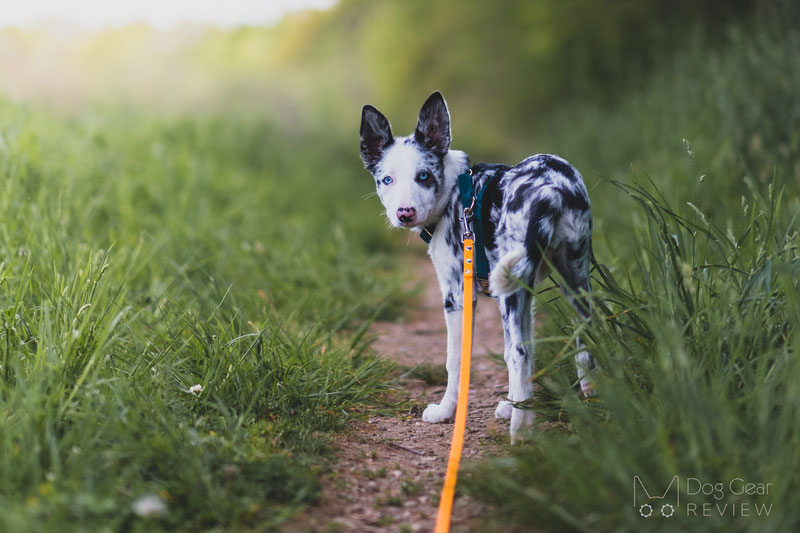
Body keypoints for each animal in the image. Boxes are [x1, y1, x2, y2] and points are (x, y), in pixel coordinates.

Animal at [360, 91, 596, 440]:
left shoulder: (458, 297)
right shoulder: (525, 291)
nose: (404, 213)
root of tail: (551, 189)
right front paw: (513, 404)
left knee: (517, 353)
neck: (454, 194)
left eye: (424, 176)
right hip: (573, 280)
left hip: (511, 292)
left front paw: (446, 411)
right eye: (386, 180)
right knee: (583, 341)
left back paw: (519, 435)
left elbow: (456, 361)